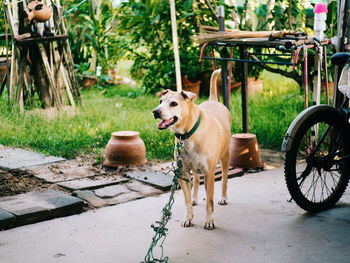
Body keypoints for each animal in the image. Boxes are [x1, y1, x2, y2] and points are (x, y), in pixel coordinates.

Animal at [152, 68, 231, 231]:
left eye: (174, 103)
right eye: (160, 102)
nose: (155, 111)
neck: (187, 134)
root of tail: (213, 100)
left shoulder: (209, 172)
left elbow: (209, 202)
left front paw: (209, 221)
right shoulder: (182, 172)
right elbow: (186, 200)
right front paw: (188, 217)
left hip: (225, 156)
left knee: (224, 179)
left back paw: (223, 197)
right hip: (193, 166)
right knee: (195, 179)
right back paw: (195, 197)